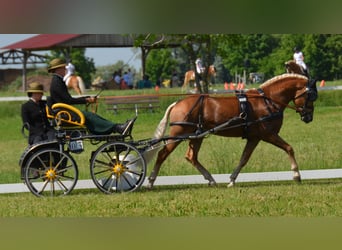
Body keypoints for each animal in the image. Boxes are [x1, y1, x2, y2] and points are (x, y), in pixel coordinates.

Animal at [148, 73, 320, 188]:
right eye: (311, 96)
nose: (309, 117)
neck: (267, 101)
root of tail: (177, 103)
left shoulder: (254, 138)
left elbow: (244, 158)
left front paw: (231, 180)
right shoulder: (268, 134)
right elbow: (289, 148)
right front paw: (296, 175)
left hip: (197, 136)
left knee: (191, 157)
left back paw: (211, 179)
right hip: (178, 135)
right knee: (162, 154)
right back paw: (150, 181)